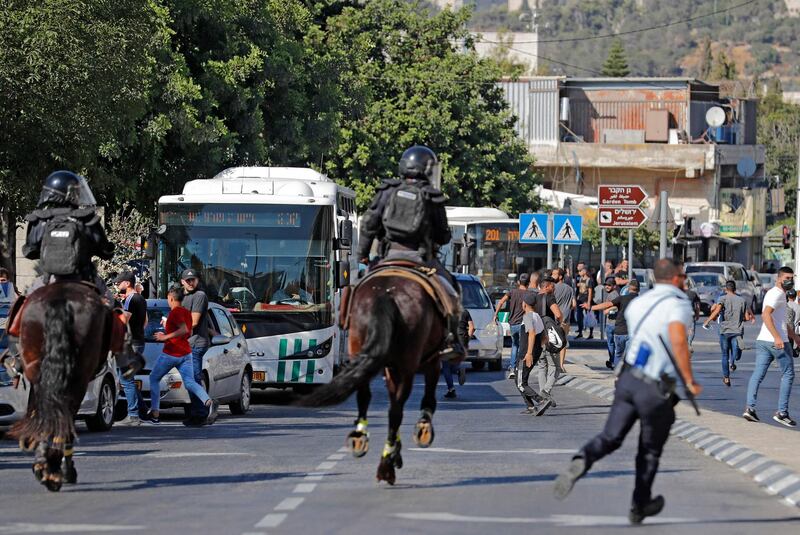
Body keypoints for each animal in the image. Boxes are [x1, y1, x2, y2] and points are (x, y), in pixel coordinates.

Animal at [296, 272, 454, 486]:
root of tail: (386, 294)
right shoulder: (431, 361)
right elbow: (425, 398)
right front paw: (420, 428)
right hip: (408, 361)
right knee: (395, 410)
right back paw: (387, 462)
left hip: (359, 345)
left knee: (366, 395)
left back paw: (364, 439)